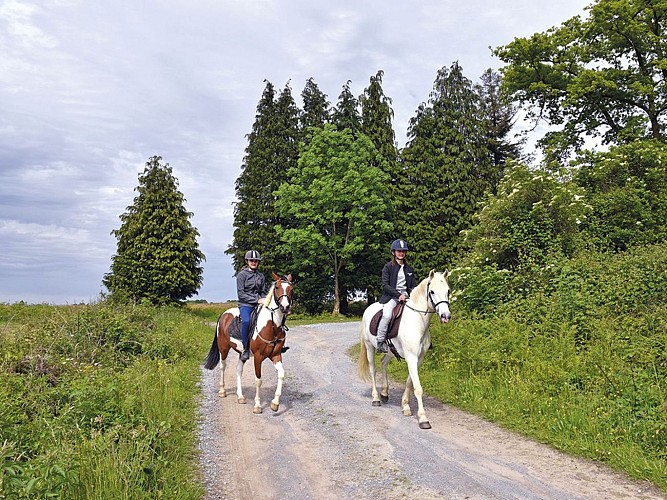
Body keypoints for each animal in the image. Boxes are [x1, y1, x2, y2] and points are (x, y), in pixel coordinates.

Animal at [204, 274, 292, 414]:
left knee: (238, 370)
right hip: (223, 348)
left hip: (242, 354)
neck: (272, 326)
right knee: (223, 366)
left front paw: (275, 403)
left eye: (291, 288)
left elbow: (281, 374)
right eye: (277, 287)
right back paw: (222, 391)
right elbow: (258, 380)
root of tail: (223, 315)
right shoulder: (258, 357)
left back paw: (240, 397)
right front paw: (257, 406)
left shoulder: (276, 355)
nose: (285, 307)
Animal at [358, 270, 452, 430]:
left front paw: (405, 406)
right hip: (369, 347)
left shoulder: (418, 359)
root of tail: (368, 309)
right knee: (373, 370)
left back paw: (385, 393)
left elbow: (409, 383)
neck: (417, 321)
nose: (446, 316)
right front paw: (423, 419)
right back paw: (376, 398)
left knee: (383, 363)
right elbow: (418, 388)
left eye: (448, 291)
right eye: (432, 292)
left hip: (390, 351)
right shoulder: (411, 357)